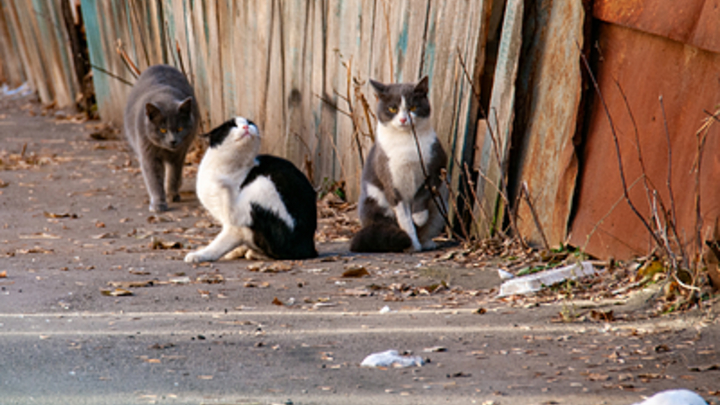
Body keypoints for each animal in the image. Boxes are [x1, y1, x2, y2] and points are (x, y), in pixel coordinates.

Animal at [122, 64, 198, 211]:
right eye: (162, 130)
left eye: (180, 129)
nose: (173, 141)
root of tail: (160, 65)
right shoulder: (148, 154)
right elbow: (154, 179)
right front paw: (159, 203)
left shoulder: (179, 154)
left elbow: (174, 174)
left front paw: (172, 194)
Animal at [186, 117, 318, 262]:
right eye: (232, 125)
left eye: (249, 123)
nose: (246, 127)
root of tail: (310, 248)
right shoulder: (233, 228)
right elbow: (221, 244)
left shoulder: (233, 224)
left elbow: (219, 241)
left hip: (261, 184)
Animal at [350, 76, 448, 251]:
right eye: (392, 109)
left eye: (413, 107)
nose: (403, 119)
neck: (406, 141)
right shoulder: (392, 183)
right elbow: (405, 220)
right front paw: (412, 245)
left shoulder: (437, 164)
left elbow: (424, 191)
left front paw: (419, 216)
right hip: (375, 205)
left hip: (441, 206)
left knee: (429, 227)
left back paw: (427, 242)